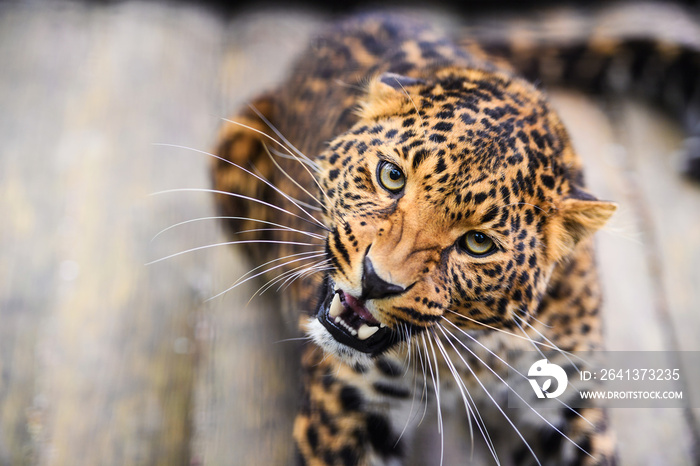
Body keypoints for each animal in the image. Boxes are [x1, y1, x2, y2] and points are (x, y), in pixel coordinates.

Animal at [209, 4, 700, 466]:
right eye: (391, 177)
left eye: (478, 244)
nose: (375, 282)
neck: (470, 353)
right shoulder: (345, 408)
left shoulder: (566, 398)